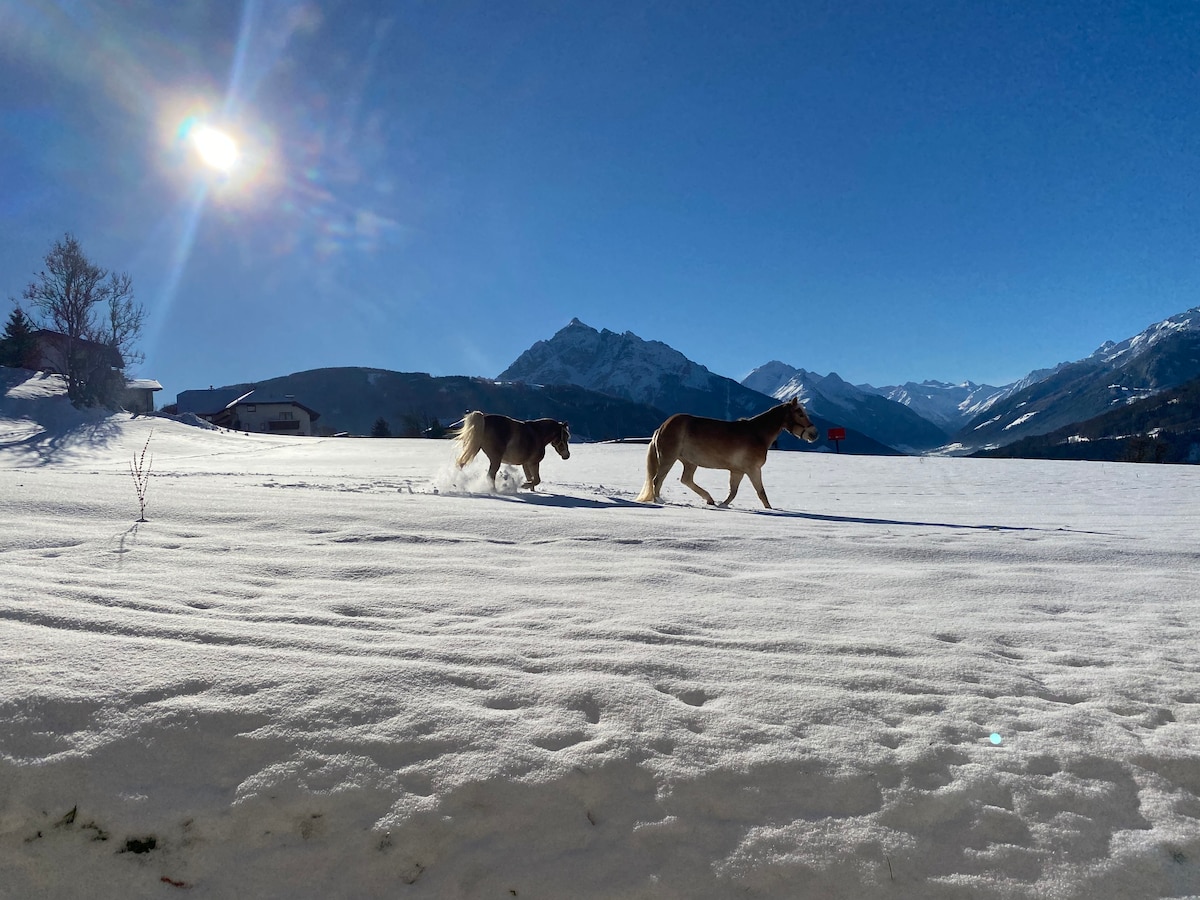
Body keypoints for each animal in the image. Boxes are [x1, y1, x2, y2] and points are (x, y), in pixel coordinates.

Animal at [633, 398, 820, 511]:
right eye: (800, 413)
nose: (814, 434)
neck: (757, 434)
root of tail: (663, 426)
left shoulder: (738, 471)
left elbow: (733, 492)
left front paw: (722, 505)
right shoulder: (753, 470)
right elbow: (761, 492)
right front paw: (770, 510)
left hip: (689, 462)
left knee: (686, 480)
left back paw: (709, 499)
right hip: (668, 458)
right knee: (657, 480)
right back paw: (659, 501)